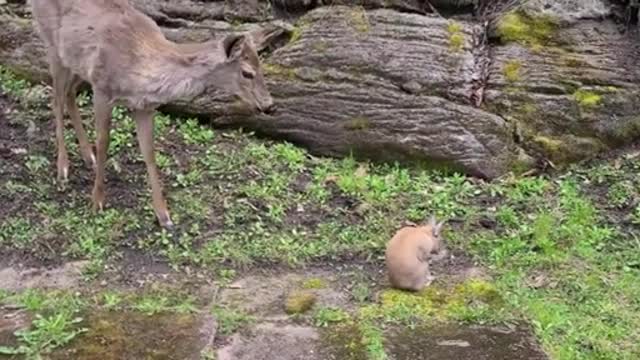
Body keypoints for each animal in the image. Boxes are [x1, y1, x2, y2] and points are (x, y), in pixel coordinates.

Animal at [30, 0, 276, 229]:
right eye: (247, 73)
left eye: (261, 66)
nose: (269, 105)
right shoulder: (102, 89)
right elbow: (103, 142)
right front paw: (97, 201)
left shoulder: (143, 107)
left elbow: (149, 152)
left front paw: (164, 216)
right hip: (52, 43)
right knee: (56, 99)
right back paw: (63, 168)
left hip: (76, 62)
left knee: (69, 93)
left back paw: (86, 156)